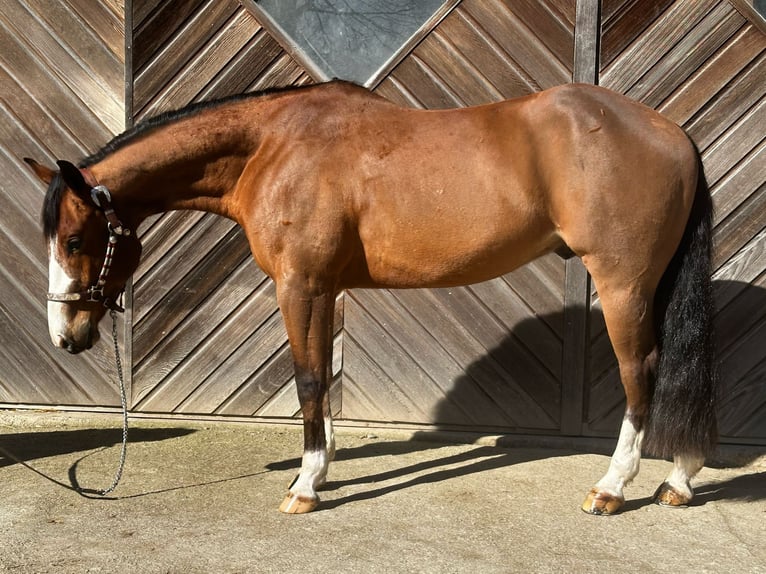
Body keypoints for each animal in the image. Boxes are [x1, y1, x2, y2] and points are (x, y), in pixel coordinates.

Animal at [25, 79, 720, 516]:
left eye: (76, 237)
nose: (66, 335)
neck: (273, 147)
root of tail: (673, 133)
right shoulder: (325, 288)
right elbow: (324, 378)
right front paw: (320, 467)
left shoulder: (300, 285)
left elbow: (307, 379)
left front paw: (305, 486)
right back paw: (679, 480)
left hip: (623, 285)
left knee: (641, 373)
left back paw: (612, 487)